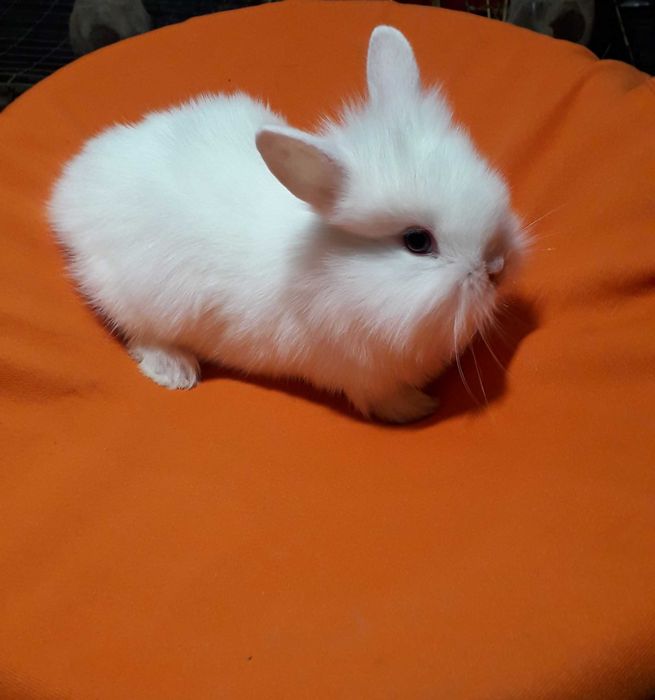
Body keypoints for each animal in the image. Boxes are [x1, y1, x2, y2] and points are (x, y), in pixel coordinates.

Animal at [48, 25, 526, 424]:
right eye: (417, 242)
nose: (496, 268)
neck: (335, 269)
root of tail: (70, 191)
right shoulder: (363, 376)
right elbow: (385, 400)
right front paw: (420, 407)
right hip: (139, 295)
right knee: (139, 333)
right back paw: (176, 371)